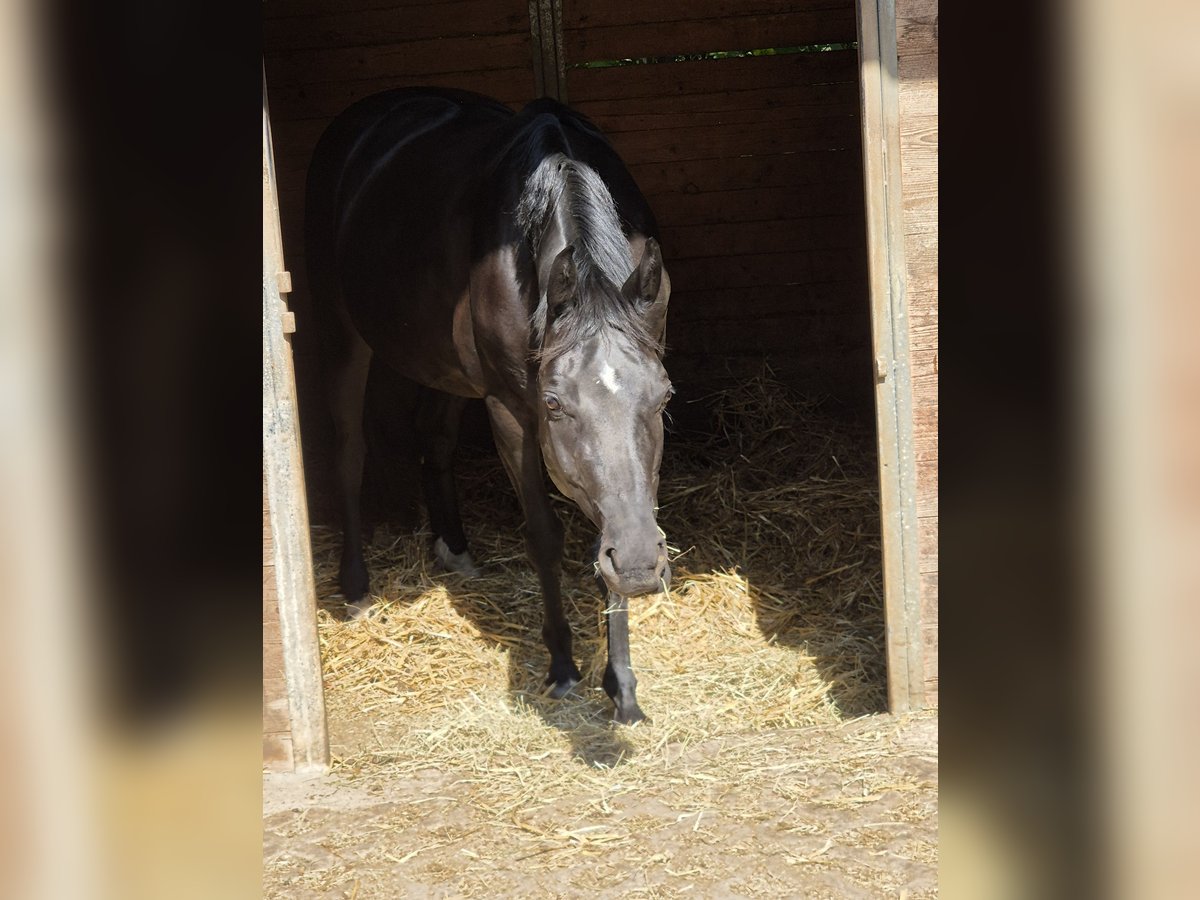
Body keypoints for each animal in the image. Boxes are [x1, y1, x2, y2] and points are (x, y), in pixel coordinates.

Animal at [304, 90, 672, 724]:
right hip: (342, 331)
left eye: (665, 395)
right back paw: (354, 587)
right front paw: (563, 665)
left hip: (442, 366)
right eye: (554, 403)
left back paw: (455, 547)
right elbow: (544, 534)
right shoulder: (510, 411)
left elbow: (611, 517)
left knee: (433, 438)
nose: (640, 564)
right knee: (350, 450)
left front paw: (623, 687)